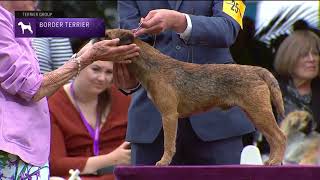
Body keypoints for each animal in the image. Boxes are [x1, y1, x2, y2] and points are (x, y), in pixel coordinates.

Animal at [104, 29, 284, 166]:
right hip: (256, 115)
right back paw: (271, 161)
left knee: (280, 136)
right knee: (272, 138)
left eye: (107, 36)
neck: (153, 66)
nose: (98, 44)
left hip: (259, 113)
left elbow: (168, 143)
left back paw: (275, 162)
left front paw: (163, 162)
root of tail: (257, 70)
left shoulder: (169, 115)